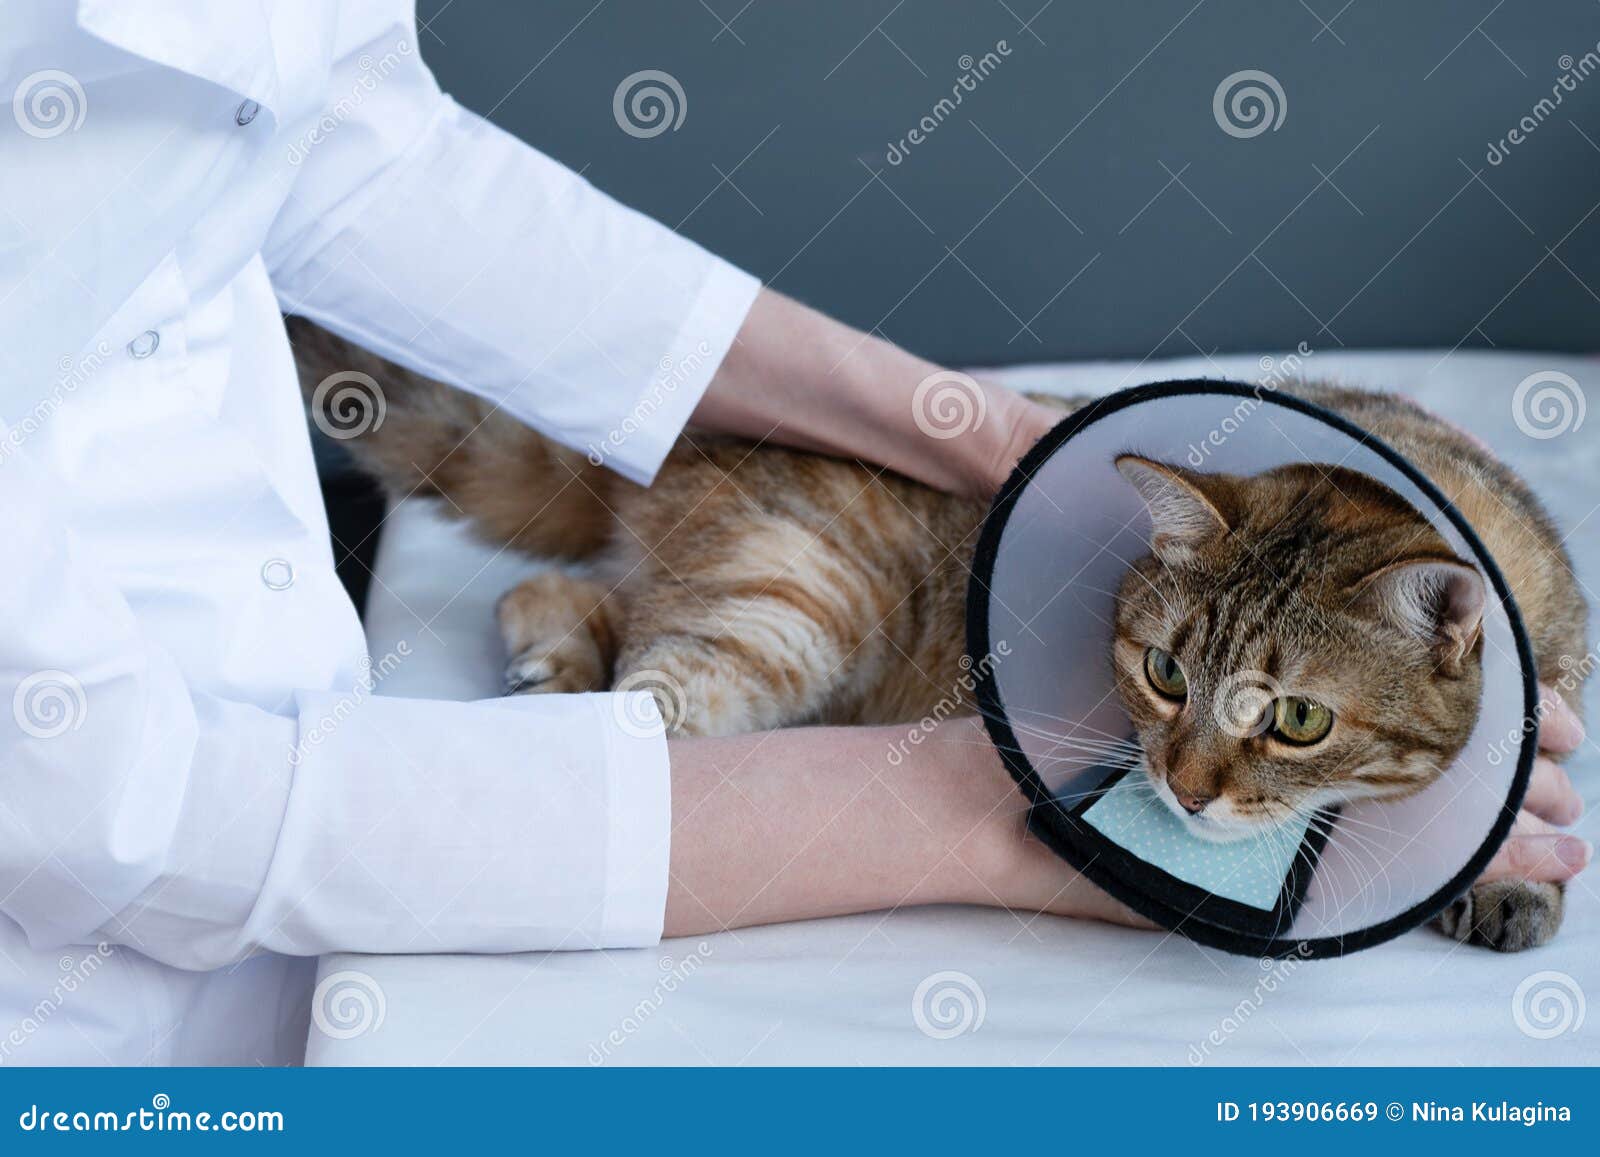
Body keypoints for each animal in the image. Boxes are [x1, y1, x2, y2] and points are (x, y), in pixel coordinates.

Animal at [297, 321, 1587, 953]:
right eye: (1166, 672)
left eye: (1299, 717)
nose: (1182, 786)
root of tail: (700, 441)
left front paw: (1513, 880)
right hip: (793, 601)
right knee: (651, 693)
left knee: (573, 601)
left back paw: (545, 659)